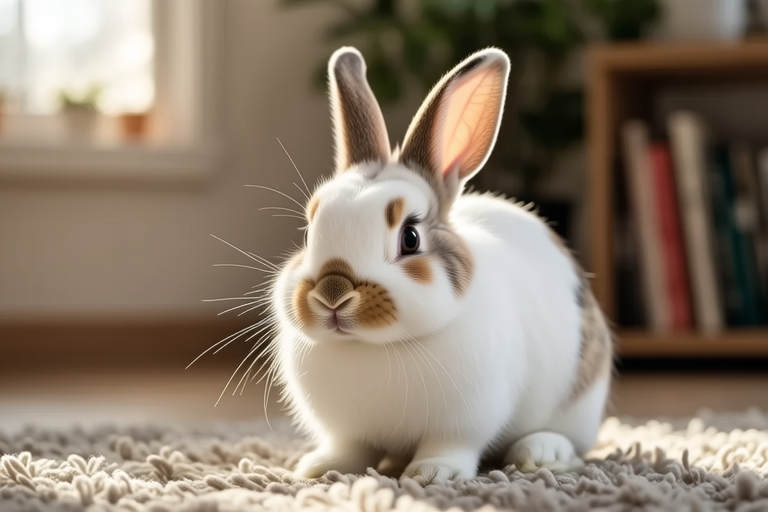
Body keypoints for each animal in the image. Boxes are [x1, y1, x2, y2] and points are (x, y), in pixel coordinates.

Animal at [269, 45, 613, 483]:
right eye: (308, 233)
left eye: (410, 238)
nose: (333, 292)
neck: (374, 347)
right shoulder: (348, 432)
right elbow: (351, 450)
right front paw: (319, 469)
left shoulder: (463, 423)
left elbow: (448, 447)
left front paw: (432, 474)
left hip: (579, 404)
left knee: (570, 442)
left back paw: (539, 452)